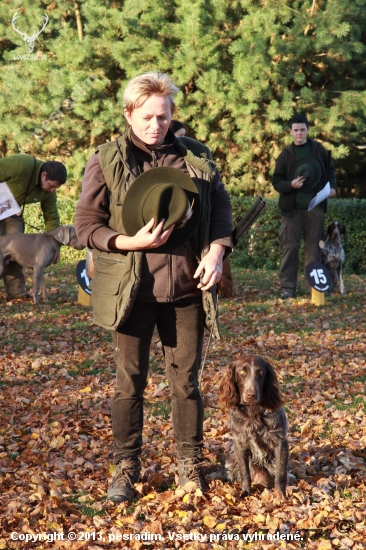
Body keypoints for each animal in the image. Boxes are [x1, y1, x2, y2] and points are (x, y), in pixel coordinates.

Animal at [219, 358, 288, 500]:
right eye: (242, 372)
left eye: (260, 372)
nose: (251, 394)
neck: (253, 411)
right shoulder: (239, 444)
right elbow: (244, 473)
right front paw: (245, 492)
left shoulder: (280, 442)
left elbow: (280, 474)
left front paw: (280, 496)